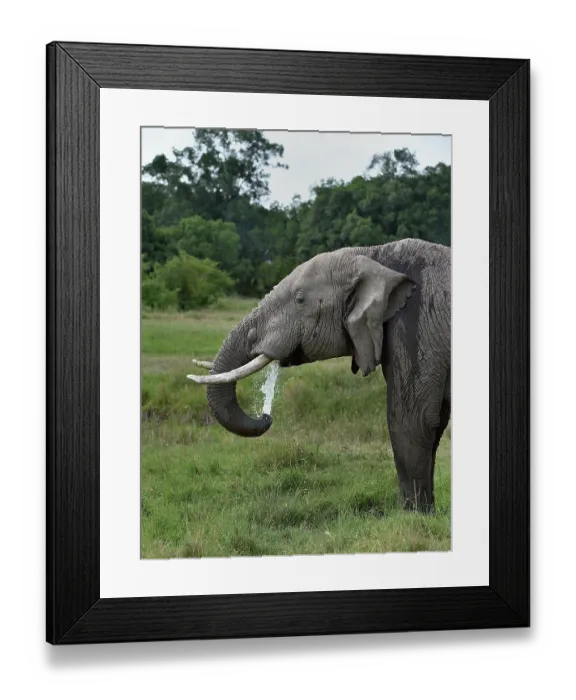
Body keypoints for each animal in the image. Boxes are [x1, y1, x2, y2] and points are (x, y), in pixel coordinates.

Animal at [188, 238, 451, 514]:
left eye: (300, 299)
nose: (266, 416)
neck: (376, 254)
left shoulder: (417, 323)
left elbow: (414, 420)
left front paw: (414, 515)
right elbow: (434, 423)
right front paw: (426, 512)